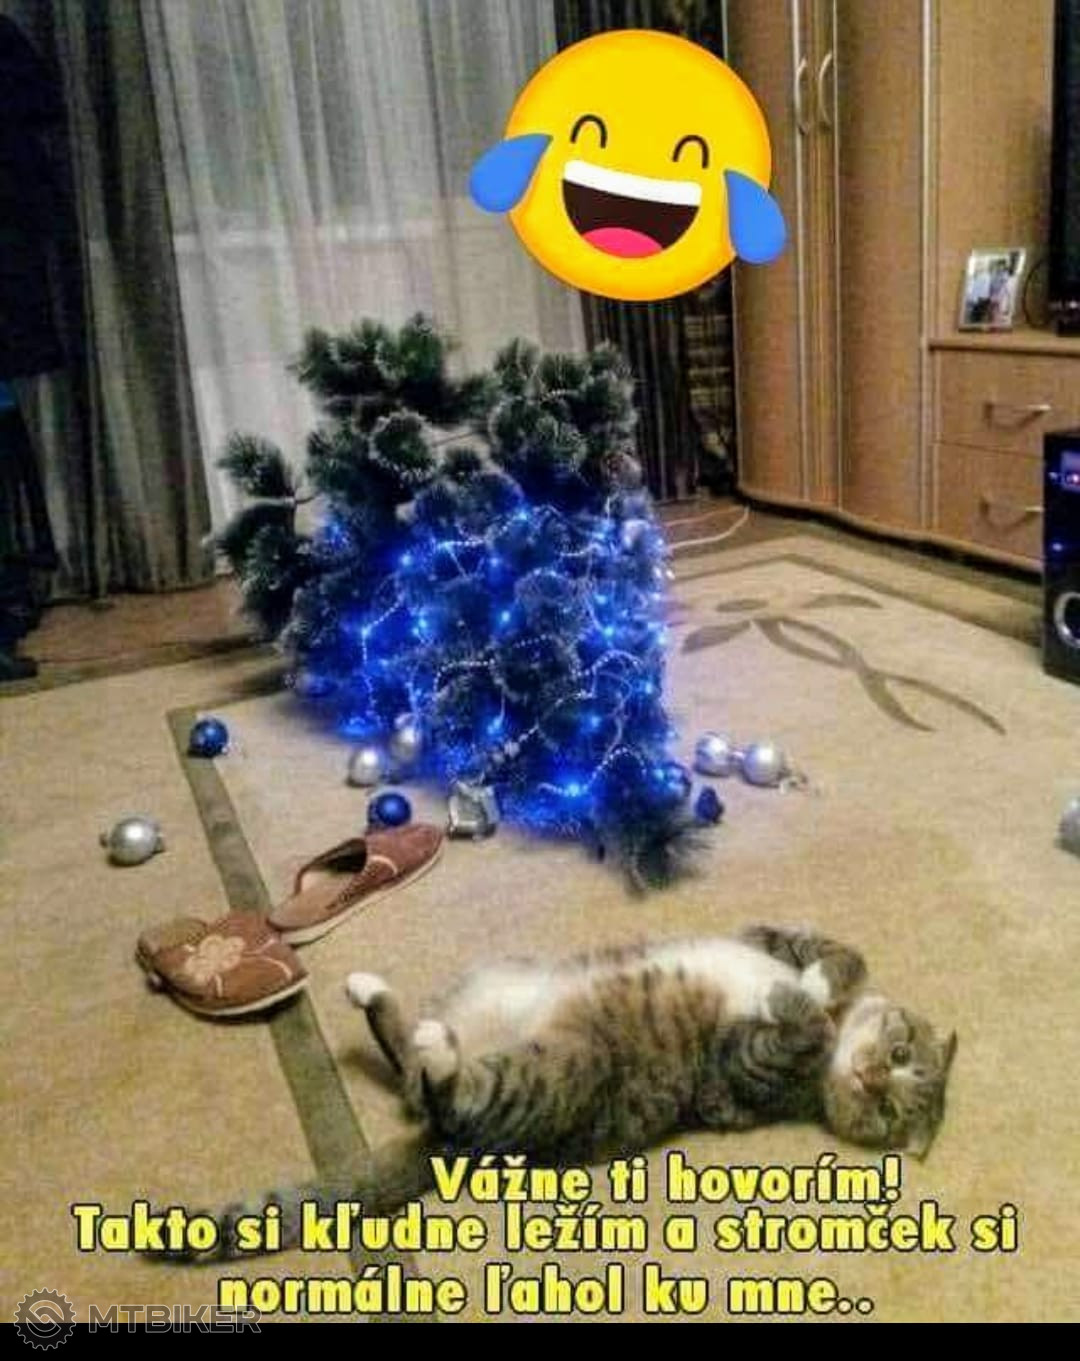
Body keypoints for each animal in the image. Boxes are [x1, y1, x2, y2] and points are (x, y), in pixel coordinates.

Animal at [196, 924, 955, 1260]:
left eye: (887, 1111)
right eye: (899, 1054)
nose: (872, 1077)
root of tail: (445, 1148)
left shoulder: (744, 1071)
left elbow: (797, 1026)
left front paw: (802, 1001)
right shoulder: (772, 937)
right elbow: (839, 953)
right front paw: (822, 982)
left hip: (552, 1073)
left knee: (443, 1093)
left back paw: (434, 1048)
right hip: (495, 977)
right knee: (408, 1065)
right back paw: (374, 994)